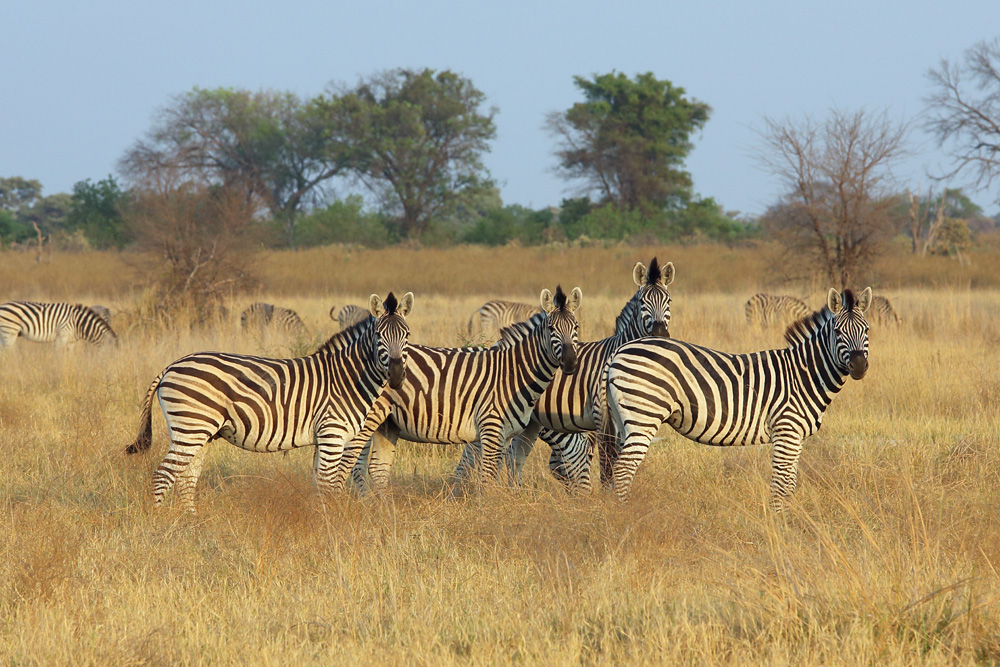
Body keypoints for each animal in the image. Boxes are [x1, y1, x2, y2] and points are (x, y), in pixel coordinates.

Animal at [125, 290, 414, 516]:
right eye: (379, 337)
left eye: (407, 335)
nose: (397, 375)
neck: (348, 376)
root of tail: (170, 366)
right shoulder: (332, 434)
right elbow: (329, 485)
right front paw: (330, 524)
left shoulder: (322, 438)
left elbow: (319, 483)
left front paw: (320, 519)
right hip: (191, 427)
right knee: (164, 474)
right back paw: (160, 525)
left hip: (197, 431)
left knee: (187, 477)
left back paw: (191, 523)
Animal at [350, 284, 584, 494]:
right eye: (551, 329)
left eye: (576, 328)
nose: (571, 362)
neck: (513, 372)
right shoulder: (489, 426)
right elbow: (482, 474)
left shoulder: (503, 433)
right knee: (355, 462)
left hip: (386, 423)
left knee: (374, 467)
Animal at [458, 256, 676, 490]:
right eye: (643, 302)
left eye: (669, 301)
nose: (659, 333)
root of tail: (498, 344)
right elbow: (603, 460)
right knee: (475, 451)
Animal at [596, 288, 872, 512]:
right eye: (838, 331)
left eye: (867, 330)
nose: (859, 366)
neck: (803, 374)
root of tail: (619, 350)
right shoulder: (786, 431)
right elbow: (781, 484)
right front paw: (780, 523)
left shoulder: (797, 437)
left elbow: (790, 484)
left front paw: (789, 519)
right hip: (643, 416)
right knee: (623, 470)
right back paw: (625, 516)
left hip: (622, 421)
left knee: (613, 467)